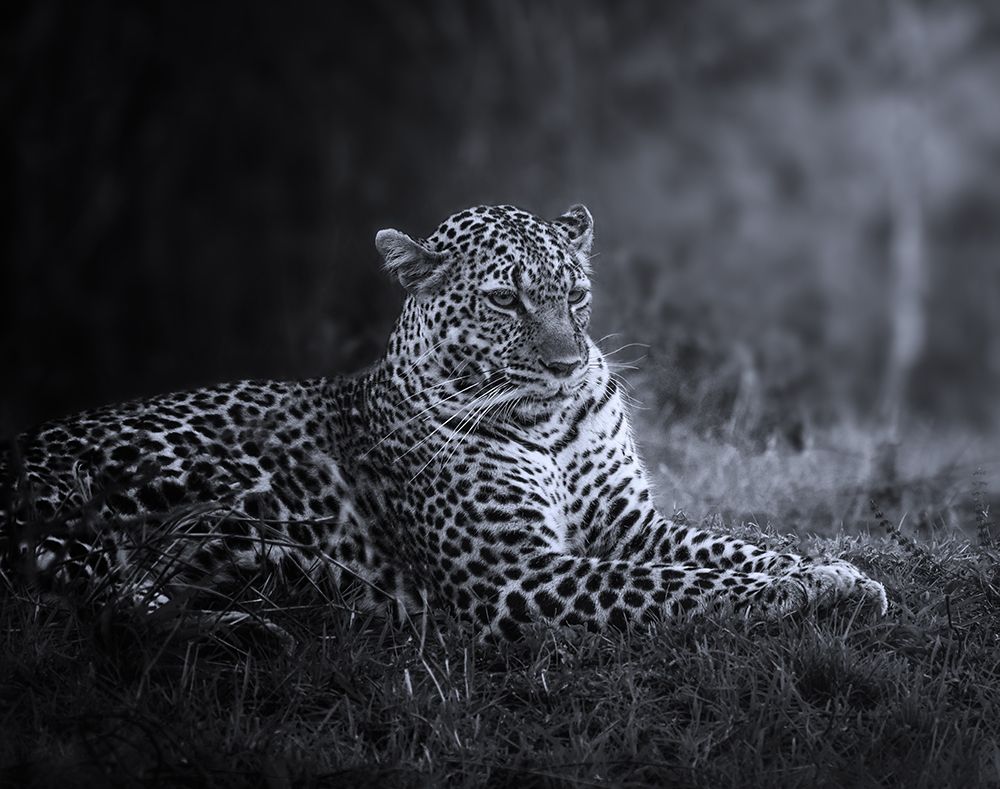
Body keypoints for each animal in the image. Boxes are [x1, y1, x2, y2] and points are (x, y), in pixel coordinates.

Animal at [0, 203, 887, 641]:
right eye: (504, 300)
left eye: (574, 293)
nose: (569, 365)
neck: (548, 422)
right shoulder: (512, 573)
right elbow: (676, 584)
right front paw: (799, 590)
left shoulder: (628, 523)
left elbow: (727, 548)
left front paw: (836, 573)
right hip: (123, 498)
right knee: (101, 603)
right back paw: (257, 624)